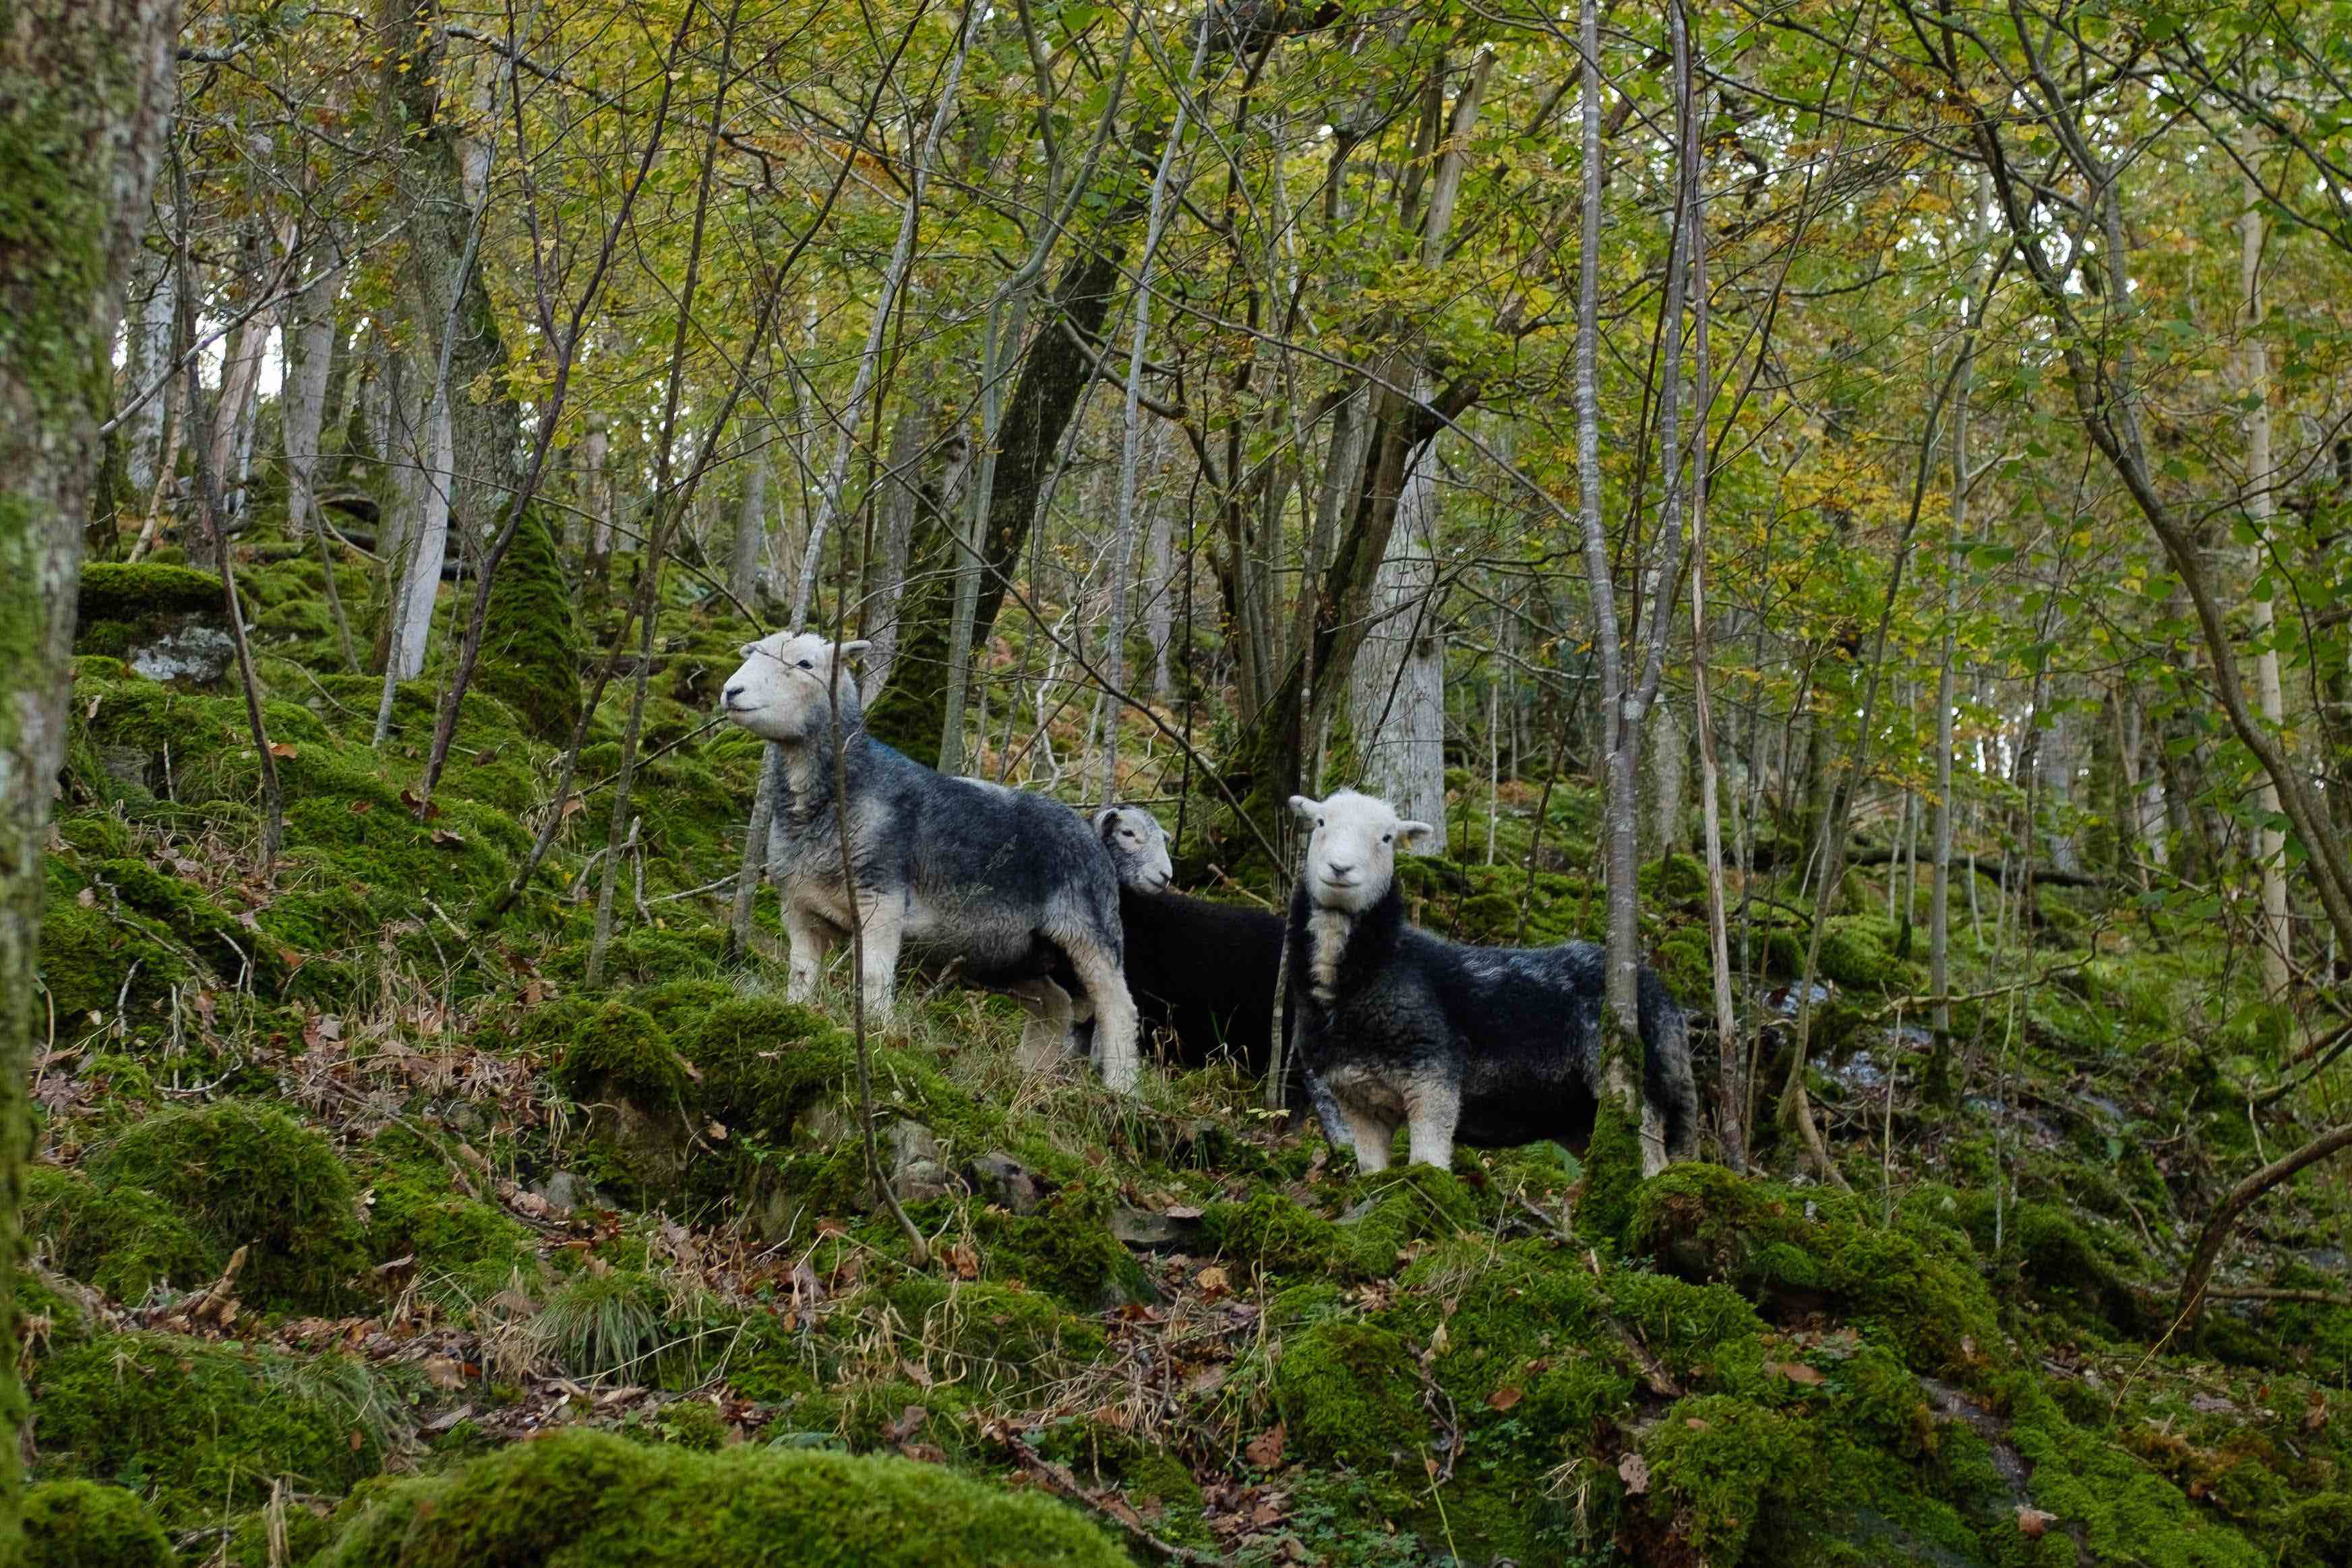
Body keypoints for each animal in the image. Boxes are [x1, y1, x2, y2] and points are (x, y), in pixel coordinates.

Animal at [724, 630, 1147, 1100]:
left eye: (805, 664)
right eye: (755, 653)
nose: (731, 691)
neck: (840, 791)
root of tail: (1092, 834)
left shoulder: (881, 897)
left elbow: (874, 976)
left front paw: (879, 1033)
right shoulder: (798, 903)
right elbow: (800, 971)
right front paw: (795, 1011)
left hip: (1089, 927)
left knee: (1119, 1008)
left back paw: (1123, 1089)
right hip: (1013, 951)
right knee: (1055, 1004)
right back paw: (1030, 1075)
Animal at [1288, 789, 1693, 1170]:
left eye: (1387, 838)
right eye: (1320, 823)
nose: (1340, 868)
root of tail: (1662, 995)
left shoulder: (1434, 1079)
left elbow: (1428, 1163)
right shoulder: (1356, 1097)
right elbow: (1373, 1172)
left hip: (1641, 1086)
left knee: (1653, 1162)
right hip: (1578, 1116)